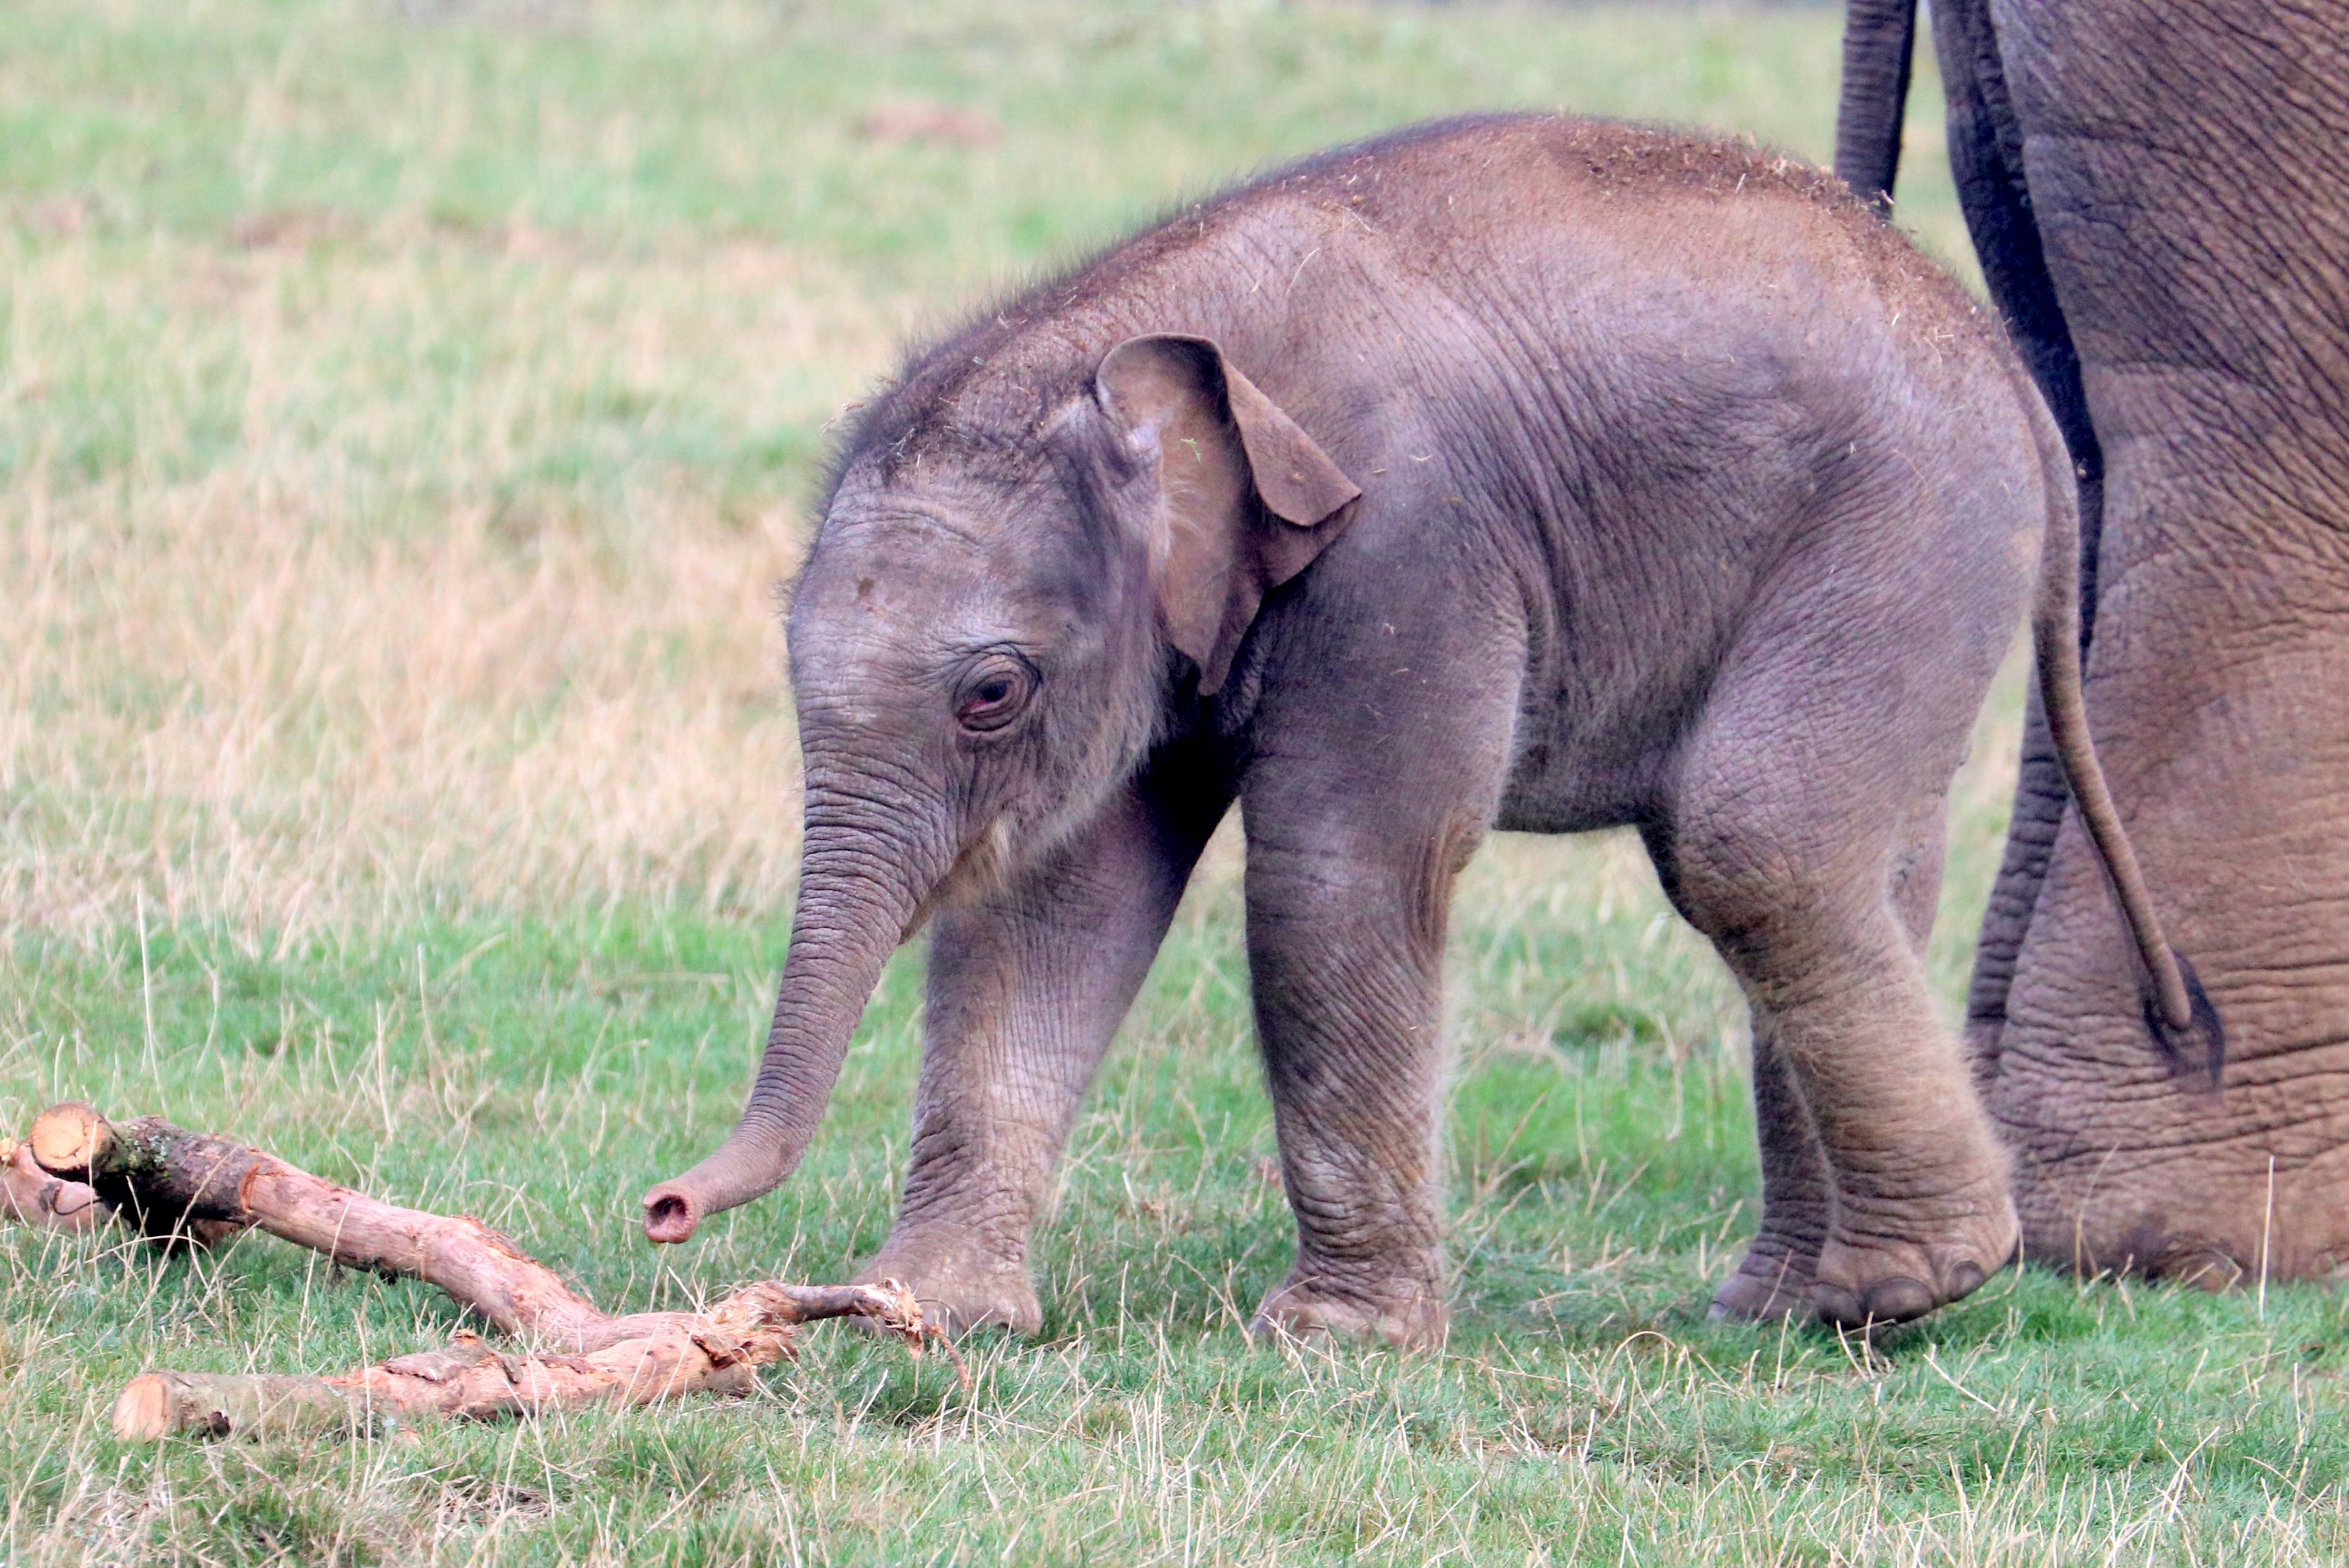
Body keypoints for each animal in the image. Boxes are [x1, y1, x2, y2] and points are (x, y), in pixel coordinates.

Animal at [640, 113, 2196, 1344]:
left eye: (989, 693)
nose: (664, 1210)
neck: (1139, 343)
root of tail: (1994, 352)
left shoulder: (1414, 543)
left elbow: (1339, 874)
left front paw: (1330, 1343)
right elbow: (1057, 902)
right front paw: (933, 1315)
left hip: (1903, 533)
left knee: (1759, 844)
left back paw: (1908, 1286)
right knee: (1861, 867)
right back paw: (1785, 1307)